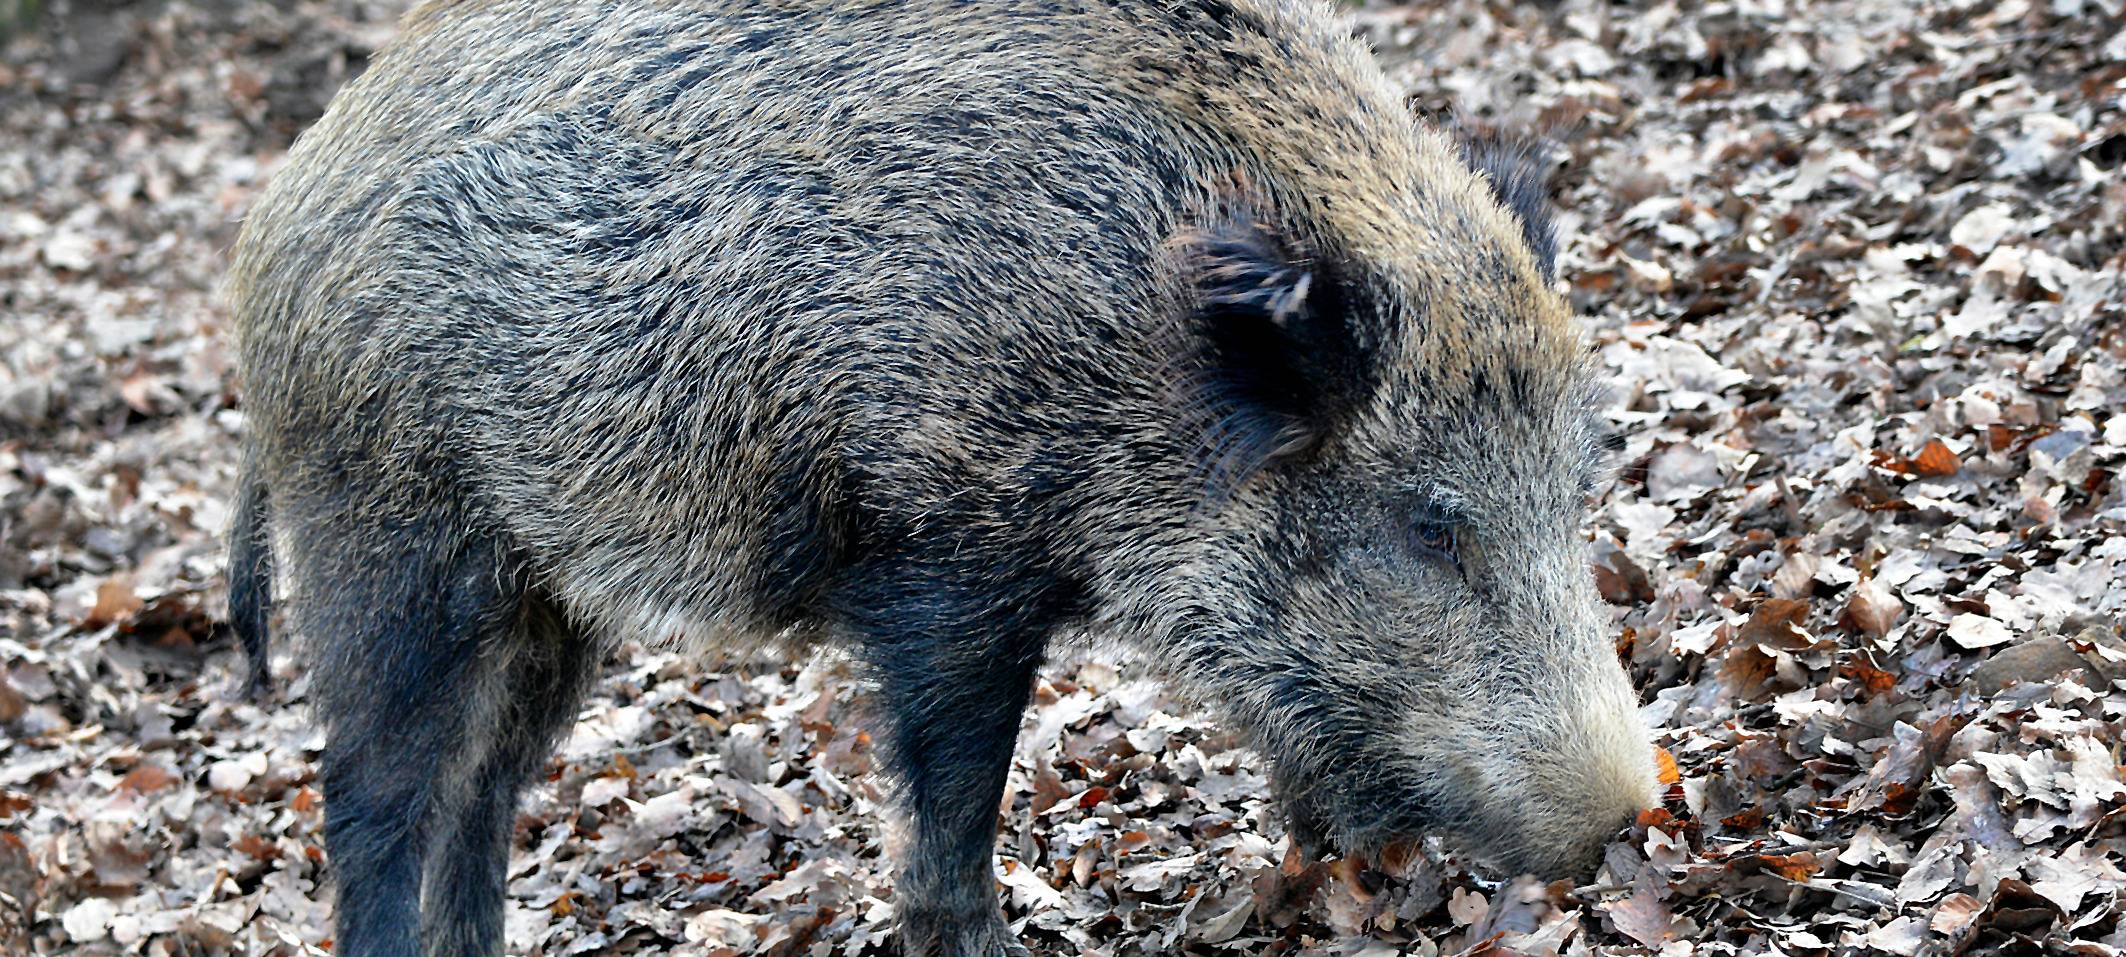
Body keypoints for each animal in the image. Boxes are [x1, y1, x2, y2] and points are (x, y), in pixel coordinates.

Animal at [223, 0, 1659, 954]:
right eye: (1428, 524)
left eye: (1574, 486)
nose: (1624, 818)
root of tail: (273, 224)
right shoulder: (944, 561)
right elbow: (954, 802)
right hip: (389, 537)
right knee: (372, 796)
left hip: (545, 596)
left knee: (484, 791)